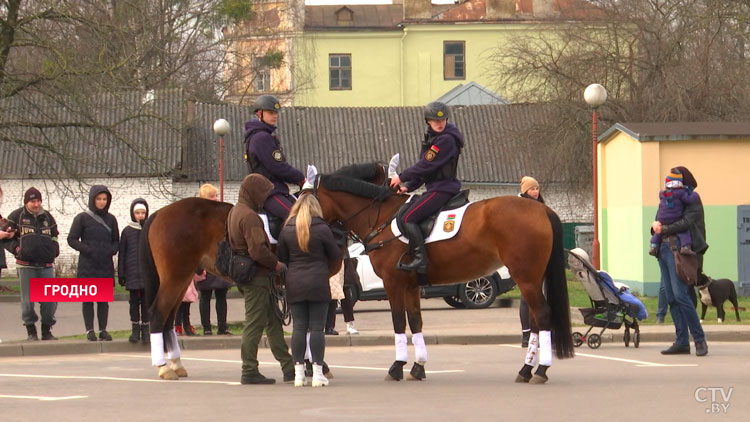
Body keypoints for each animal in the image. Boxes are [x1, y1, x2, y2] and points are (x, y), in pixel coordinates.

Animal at [140, 197, 234, 380]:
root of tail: (158, 214)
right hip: (175, 279)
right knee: (158, 314)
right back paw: (163, 367)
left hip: (182, 281)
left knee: (169, 319)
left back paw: (176, 363)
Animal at [312, 163, 576, 384]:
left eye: (308, 196)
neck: (382, 217)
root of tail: (541, 210)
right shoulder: (411, 286)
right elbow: (415, 321)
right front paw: (418, 367)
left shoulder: (392, 283)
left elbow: (398, 322)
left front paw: (397, 366)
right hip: (533, 279)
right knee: (534, 320)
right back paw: (527, 369)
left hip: (527, 278)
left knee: (542, 315)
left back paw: (539, 370)